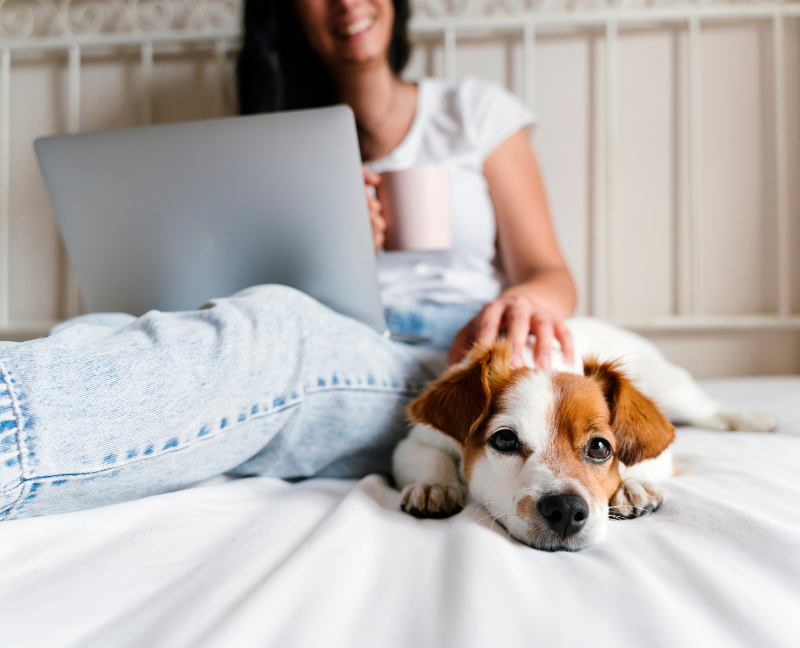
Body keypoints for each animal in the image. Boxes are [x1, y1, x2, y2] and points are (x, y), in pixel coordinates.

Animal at [394, 316, 776, 548]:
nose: (565, 510)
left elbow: (641, 458)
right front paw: (434, 485)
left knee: (711, 410)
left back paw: (754, 419)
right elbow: (430, 458)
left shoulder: (662, 453)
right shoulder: (417, 442)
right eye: (504, 439)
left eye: (600, 448)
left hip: (675, 394)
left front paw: (630, 485)